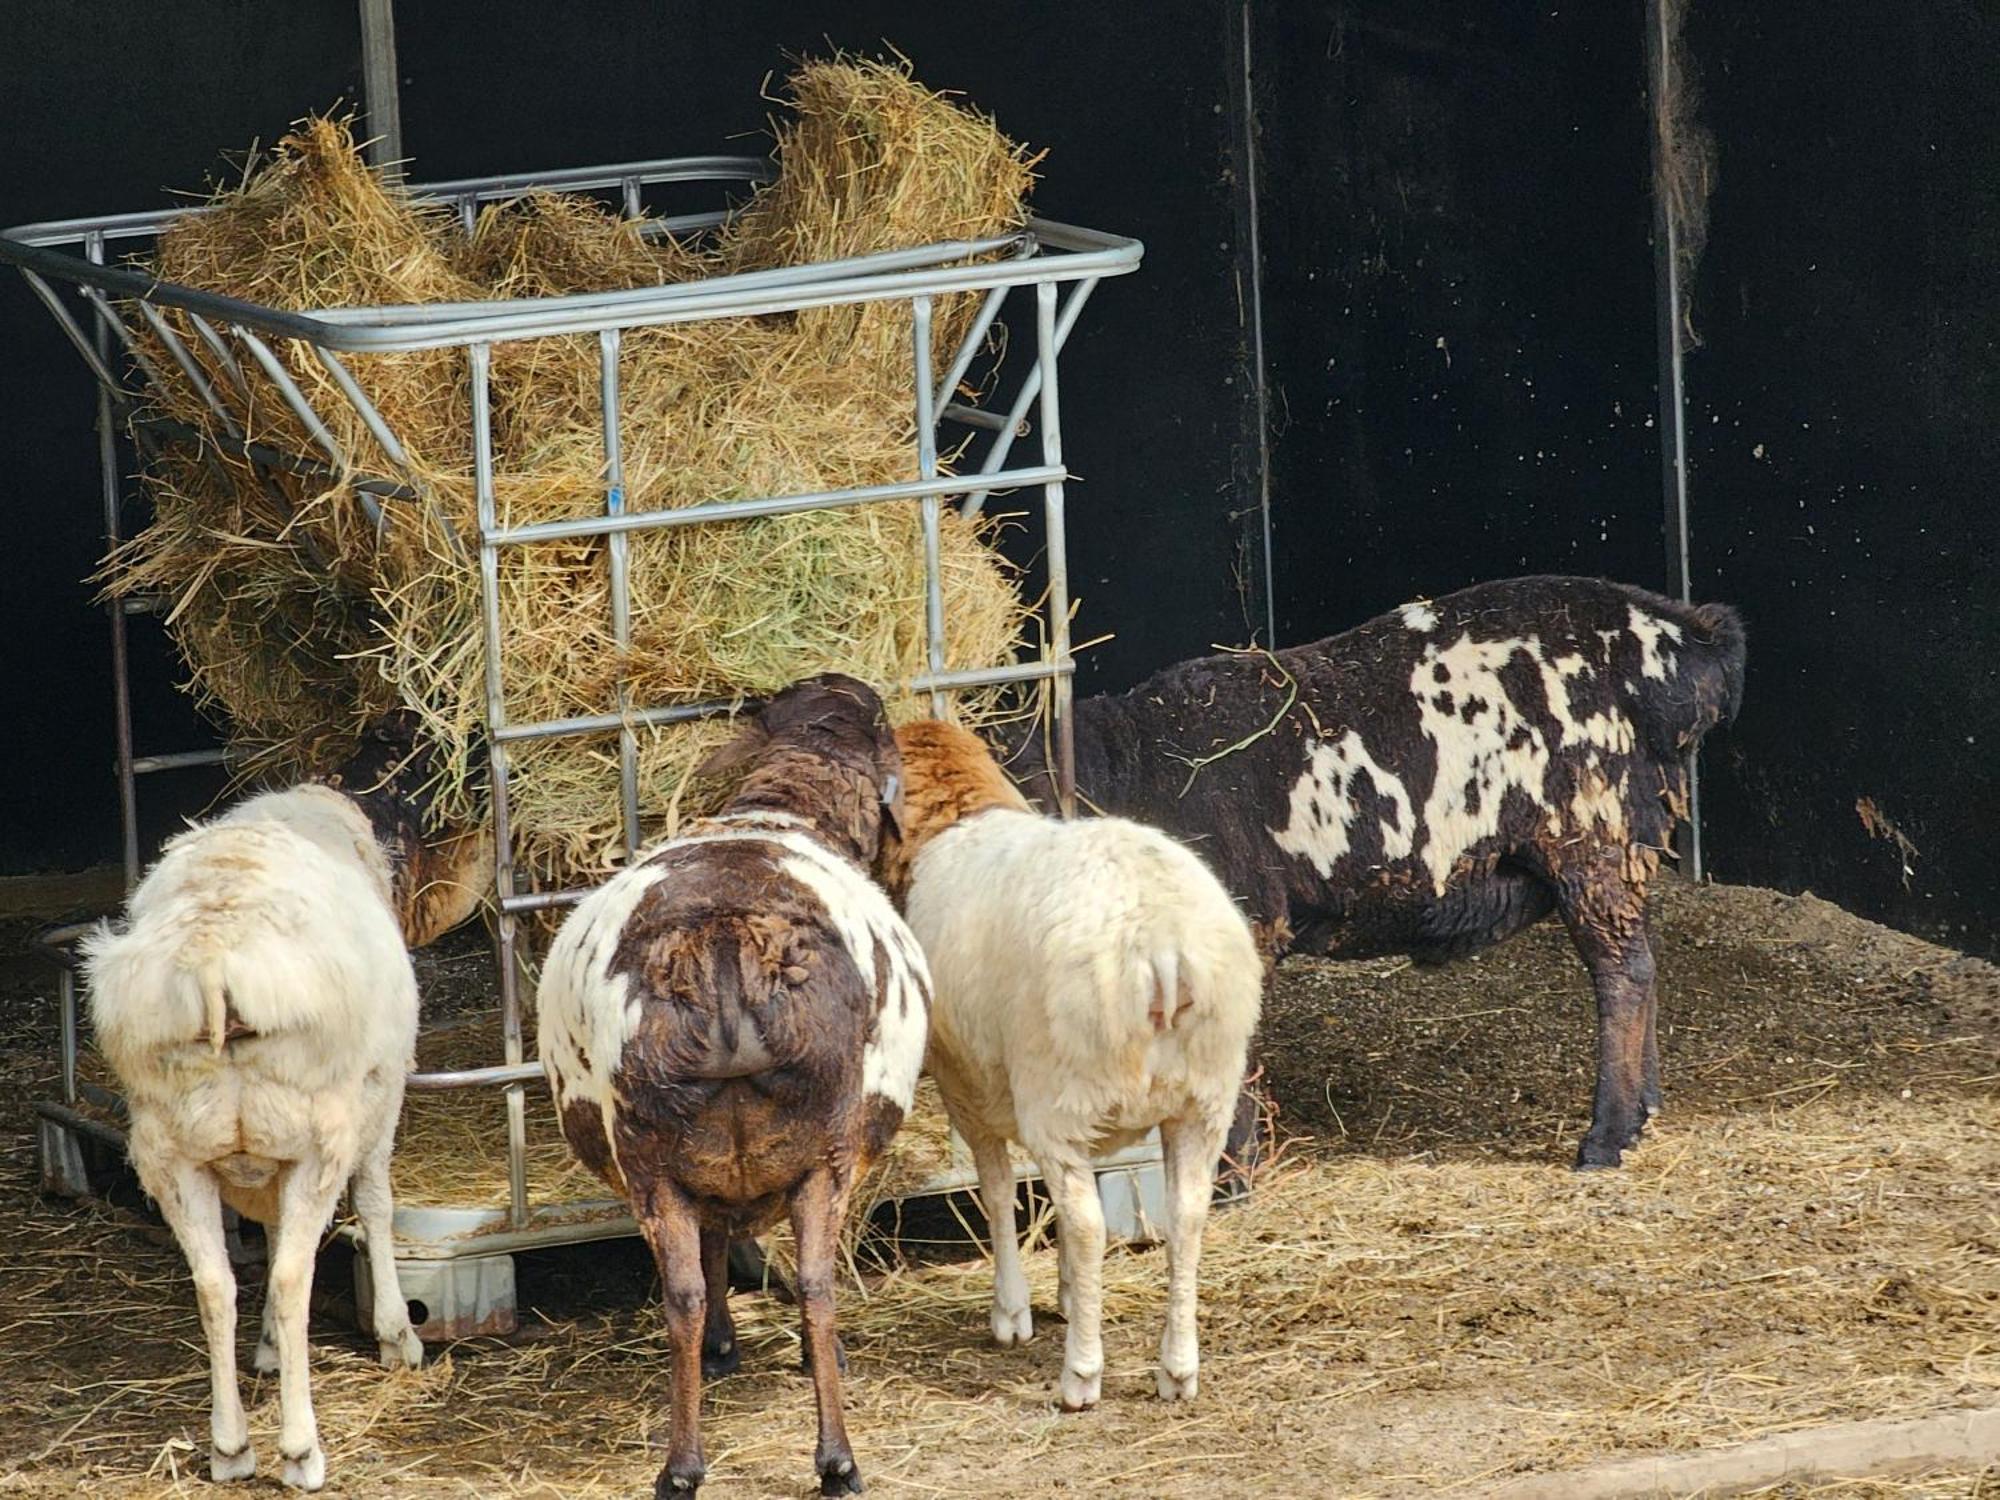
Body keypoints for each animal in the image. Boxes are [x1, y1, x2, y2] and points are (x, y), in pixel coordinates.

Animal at [84, 768, 436, 1496]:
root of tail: (214, 961)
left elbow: (266, 1243)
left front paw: (270, 1348)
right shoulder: (380, 1098)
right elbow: (376, 1206)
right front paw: (396, 1336)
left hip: (169, 1147)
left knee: (215, 1283)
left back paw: (231, 1445)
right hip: (318, 1131)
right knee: (294, 1276)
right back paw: (301, 1451)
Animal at [540, 680, 928, 1500]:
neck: (783, 803)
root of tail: (722, 942)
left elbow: (716, 1252)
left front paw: (724, 1345)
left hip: (653, 1153)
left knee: (685, 1294)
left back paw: (684, 1467)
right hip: (824, 1145)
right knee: (815, 1283)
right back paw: (834, 1459)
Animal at [884, 724, 1256, 1416]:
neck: (962, 819)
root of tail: (1161, 946)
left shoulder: (965, 1090)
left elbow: (1000, 1192)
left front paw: (1012, 1310)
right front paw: (1067, 1294)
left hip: (1061, 1095)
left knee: (1085, 1223)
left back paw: (1081, 1376)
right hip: (1204, 1096)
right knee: (1187, 1213)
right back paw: (1177, 1368)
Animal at [1008, 576, 1744, 1176]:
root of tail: (1686, 635)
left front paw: (1230, 1175)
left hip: (1590, 836)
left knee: (1623, 976)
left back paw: (1607, 1138)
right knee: (1640, 967)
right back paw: (1644, 1113)